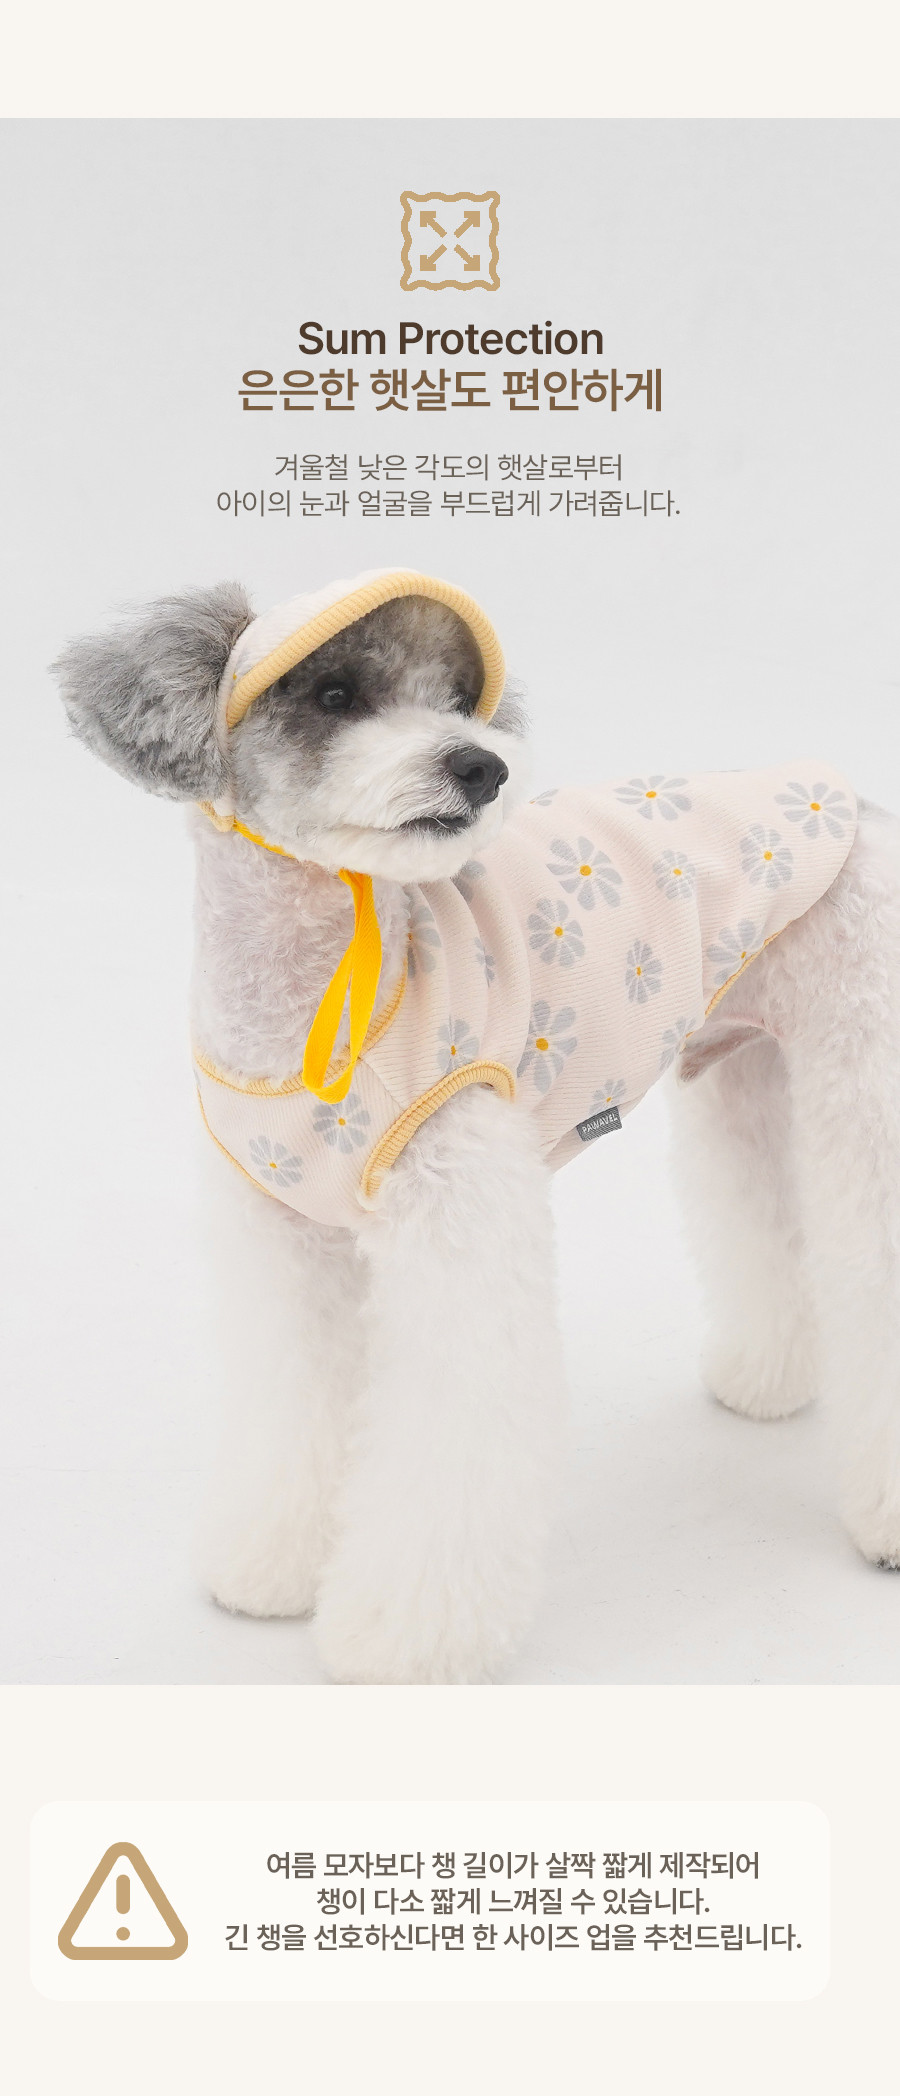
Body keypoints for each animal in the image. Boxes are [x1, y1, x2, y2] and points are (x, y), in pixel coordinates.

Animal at [52, 568, 900, 1683]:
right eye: (334, 694)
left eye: (459, 696)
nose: (481, 763)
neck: (329, 987)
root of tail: (844, 792)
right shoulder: (284, 1244)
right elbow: (295, 1410)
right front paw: (272, 1564)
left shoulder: (459, 1228)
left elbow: (450, 1446)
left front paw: (403, 1636)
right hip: (744, 1073)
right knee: (766, 1222)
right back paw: (766, 1381)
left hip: (865, 1073)